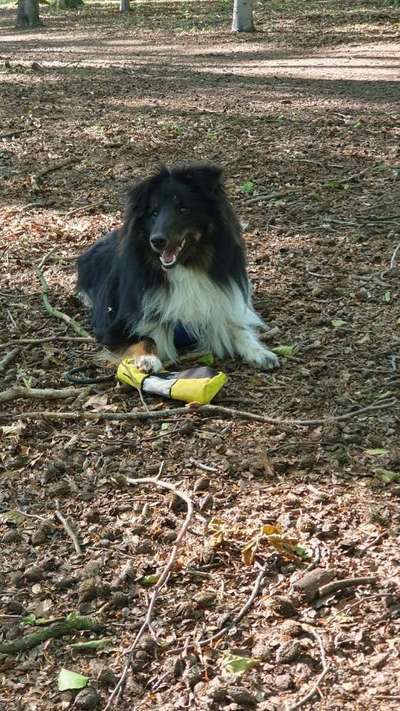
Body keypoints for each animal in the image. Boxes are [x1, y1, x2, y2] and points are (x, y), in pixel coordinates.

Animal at [77, 162, 278, 372]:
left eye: (183, 209)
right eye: (154, 213)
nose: (156, 241)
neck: (184, 268)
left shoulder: (219, 305)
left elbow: (238, 328)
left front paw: (260, 352)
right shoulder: (116, 329)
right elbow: (147, 338)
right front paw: (147, 359)